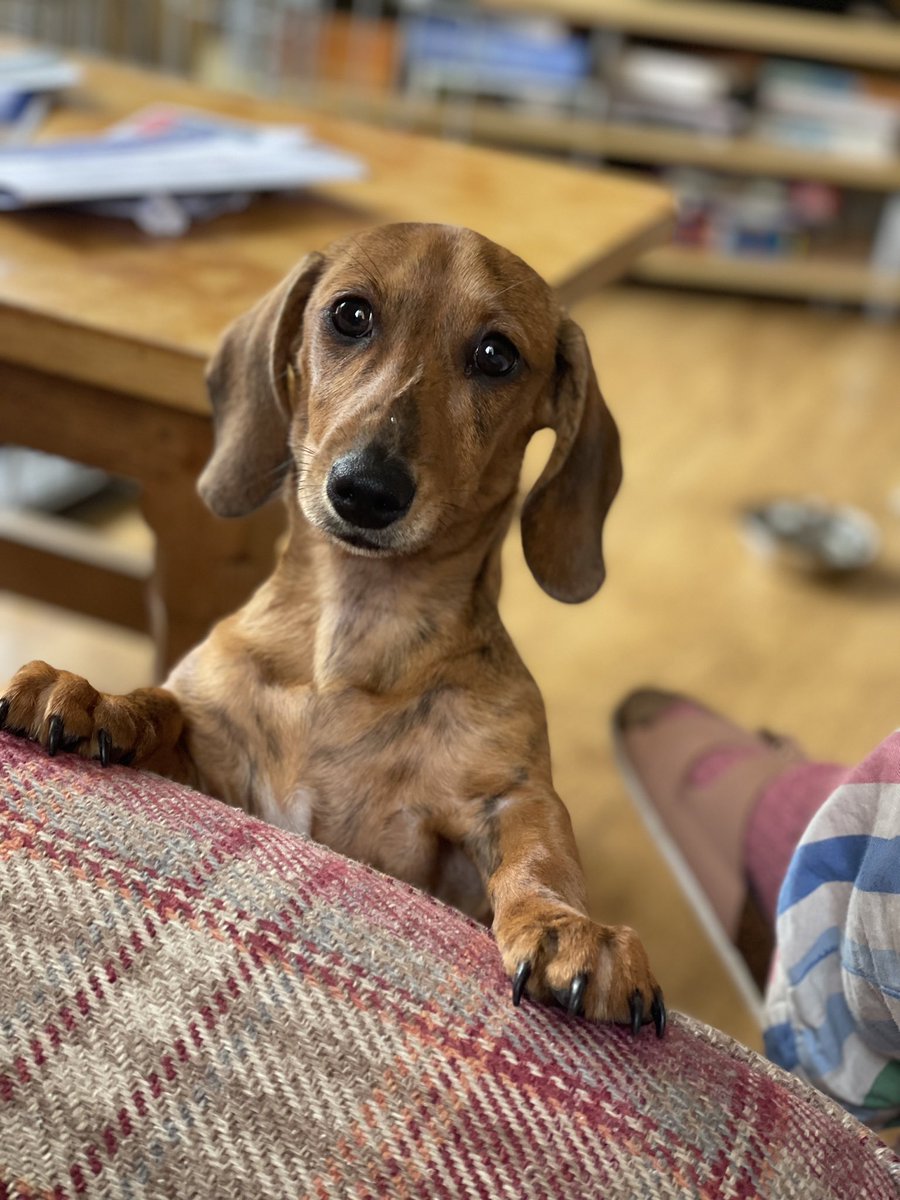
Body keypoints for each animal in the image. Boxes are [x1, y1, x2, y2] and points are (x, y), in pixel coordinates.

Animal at [1, 225, 662, 1032]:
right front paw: (93, 697)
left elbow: (538, 851)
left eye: (497, 354)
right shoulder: (212, 766)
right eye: (350, 314)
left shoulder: (507, 797)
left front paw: (570, 926)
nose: (366, 490)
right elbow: (161, 705)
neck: (348, 643)